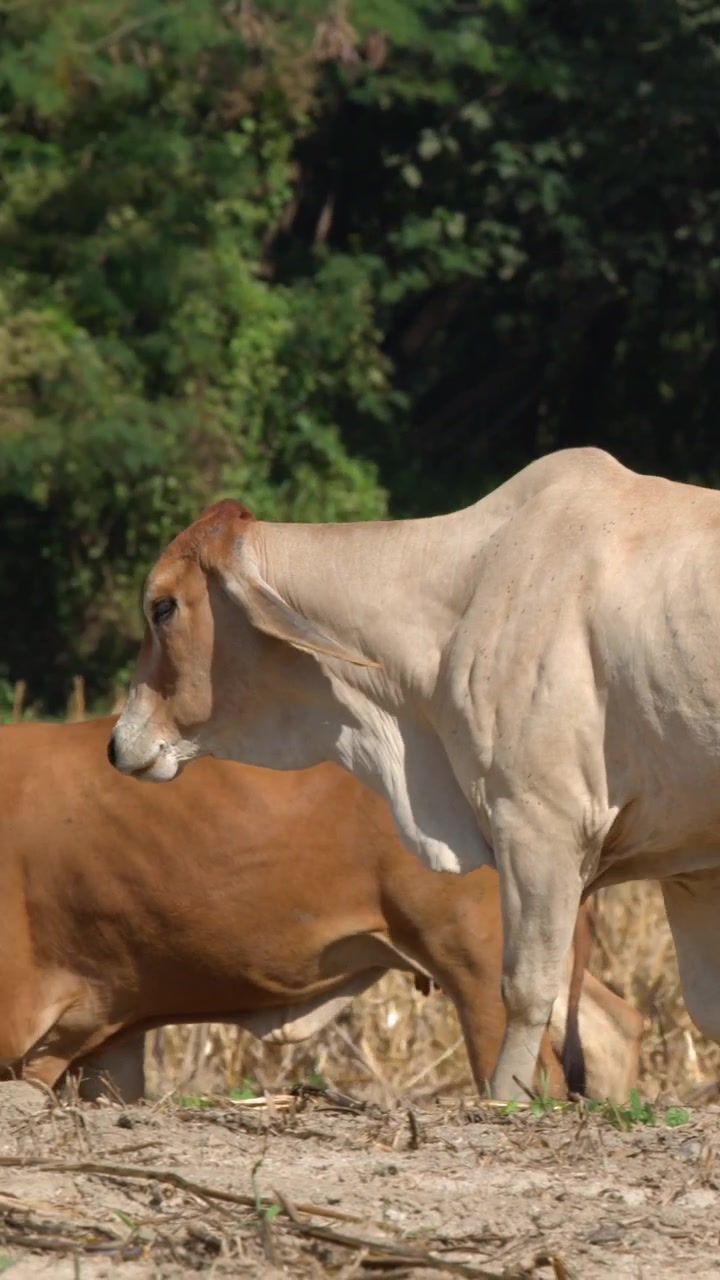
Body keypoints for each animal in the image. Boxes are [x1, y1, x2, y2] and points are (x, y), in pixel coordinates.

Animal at [108, 445, 720, 1099]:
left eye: (163, 607)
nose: (117, 744)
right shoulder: (691, 866)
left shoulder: (540, 827)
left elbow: (524, 992)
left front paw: (506, 1101)